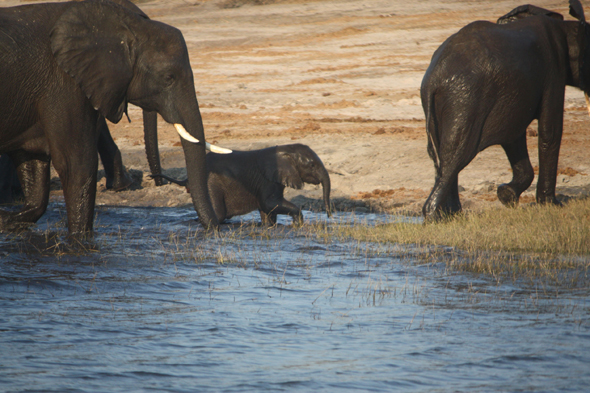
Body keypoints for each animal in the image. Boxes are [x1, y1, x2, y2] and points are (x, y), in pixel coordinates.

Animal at [0, 0, 227, 234]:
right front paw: (81, 238)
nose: (217, 228)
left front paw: (7, 221)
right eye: (168, 78)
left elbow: (32, 159)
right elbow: (76, 164)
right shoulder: (63, 85)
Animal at [153, 143, 332, 224]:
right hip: (210, 183)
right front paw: (298, 223)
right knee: (218, 214)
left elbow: (268, 209)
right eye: (312, 165)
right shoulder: (267, 179)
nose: (330, 216)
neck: (287, 149)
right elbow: (269, 204)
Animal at [420, 0, 590, 220]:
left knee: (441, 155)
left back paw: (452, 215)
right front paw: (552, 205)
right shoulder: (554, 70)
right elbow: (549, 131)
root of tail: (435, 77)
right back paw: (434, 216)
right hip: (465, 98)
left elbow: (513, 137)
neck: (566, 26)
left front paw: (506, 195)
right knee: (455, 153)